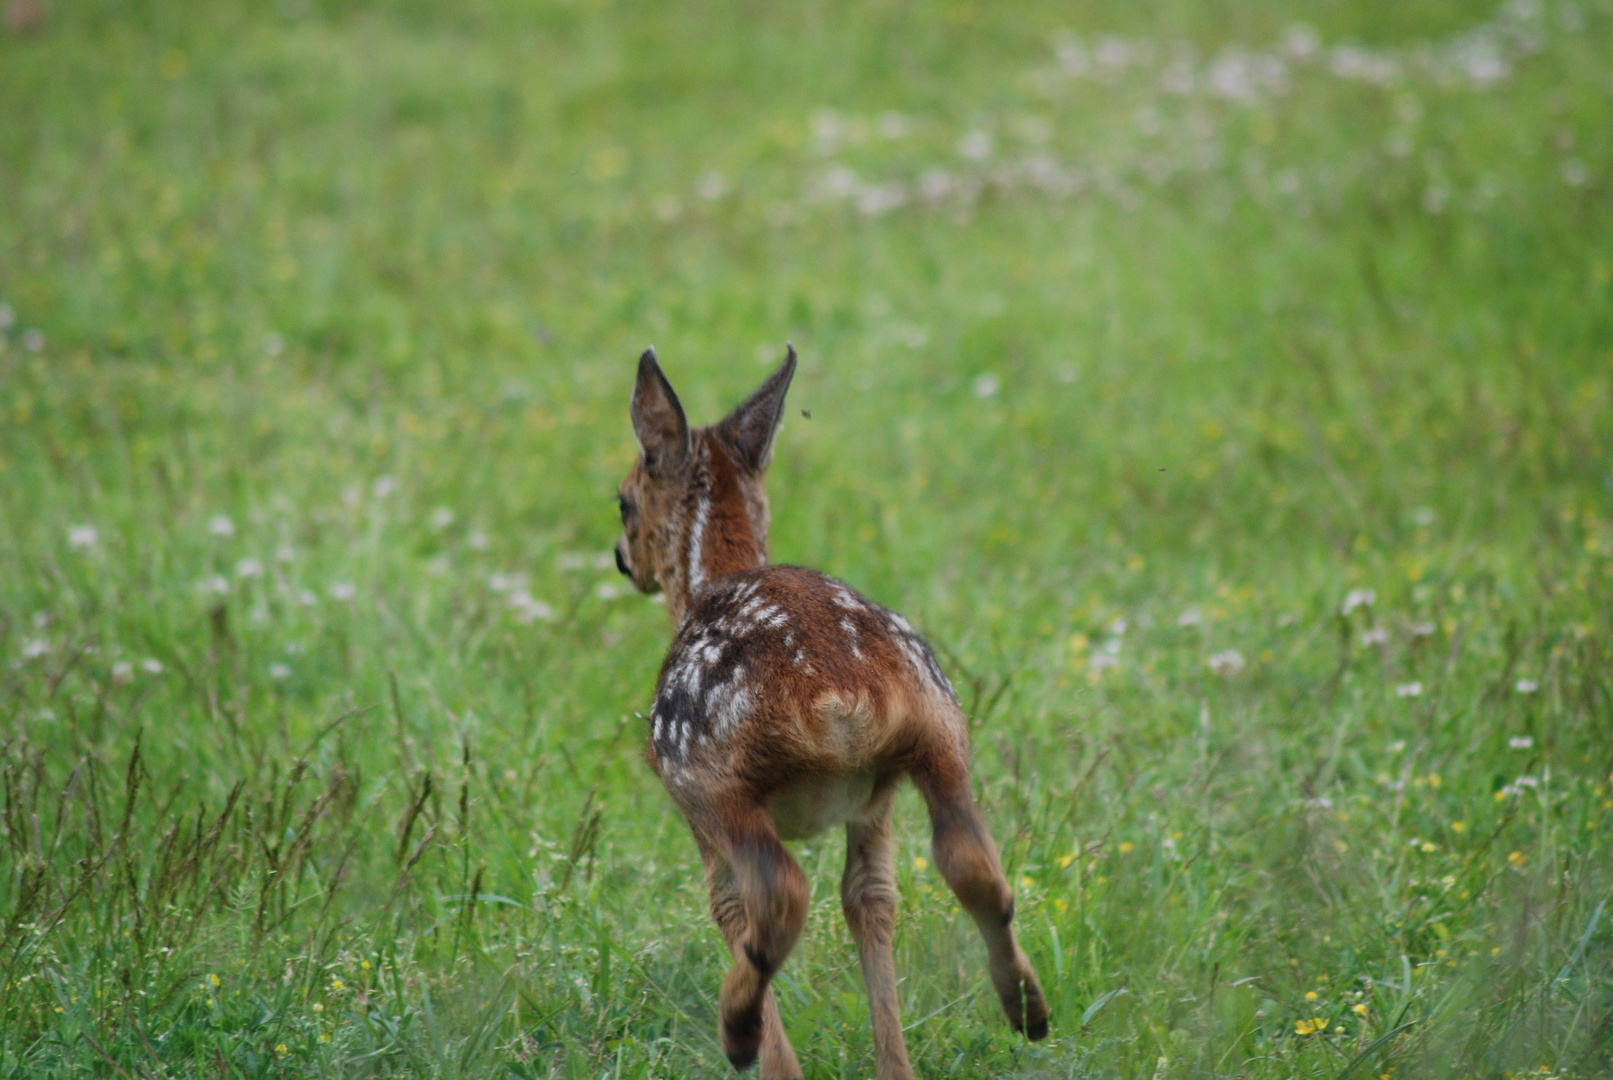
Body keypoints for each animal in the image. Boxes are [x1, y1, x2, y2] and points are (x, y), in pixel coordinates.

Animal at [612, 349, 1045, 1080]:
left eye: (622, 499)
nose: (623, 561)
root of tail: (832, 693)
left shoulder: (686, 802)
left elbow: (726, 906)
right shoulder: (873, 800)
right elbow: (869, 898)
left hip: (711, 776)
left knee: (777, 895)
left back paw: (740, 1034)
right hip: (935, 735)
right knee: (956, 868)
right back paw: (1024, 1012)